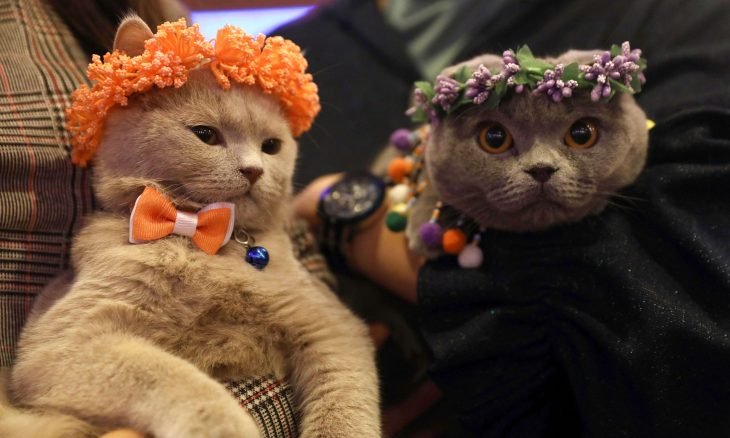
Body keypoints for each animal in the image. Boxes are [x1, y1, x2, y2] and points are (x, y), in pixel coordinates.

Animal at [3, 16, 380, 438]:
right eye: (205, 134)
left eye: (271, 146)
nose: (254, 170)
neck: (204, 239)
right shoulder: (64, 341)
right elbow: (178, 380)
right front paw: (227, 427)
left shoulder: (330, 326)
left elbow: (344, 404)